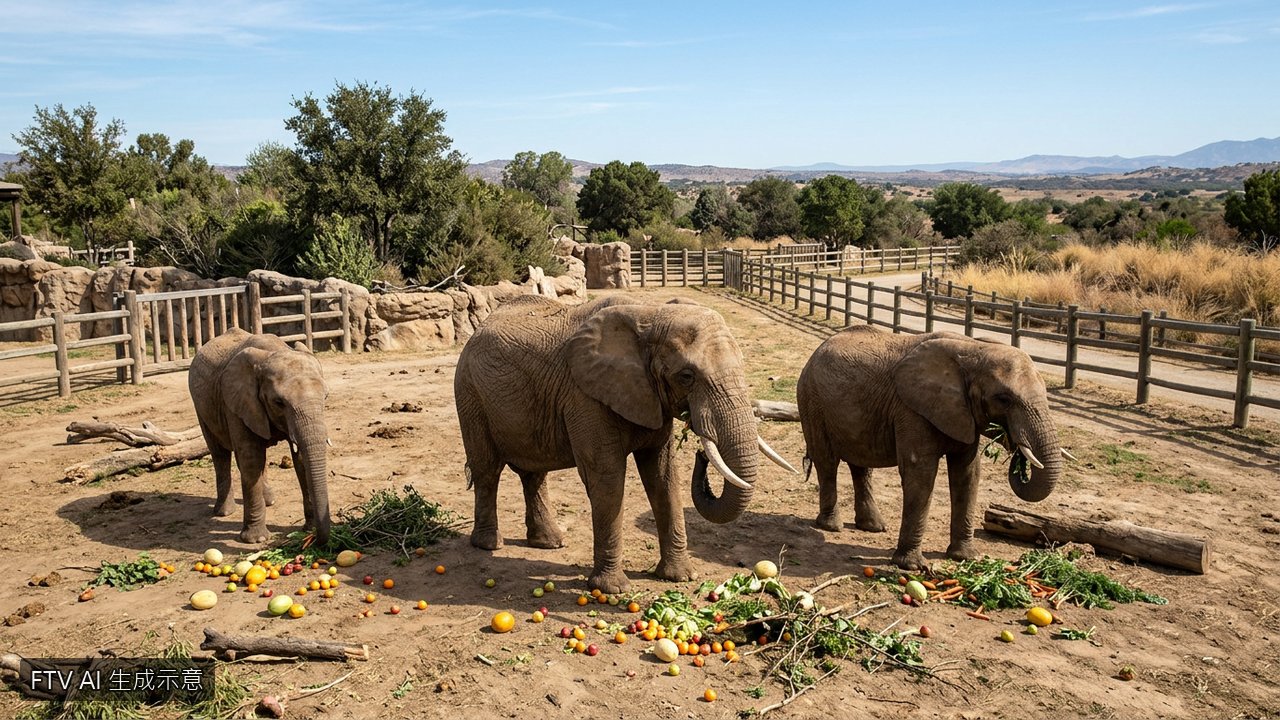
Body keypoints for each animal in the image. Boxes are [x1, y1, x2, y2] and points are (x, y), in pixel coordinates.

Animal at [188, 328, 332, 545]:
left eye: (325, 397)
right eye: (279, 402)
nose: (316, 539)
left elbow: (300, 459)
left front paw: (310, 529)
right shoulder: (237, 402)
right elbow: (251, 458)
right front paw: (256, 540)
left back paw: (269, 501)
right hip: (201, 407)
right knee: (220, 454)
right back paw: (224, 512)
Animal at [454, 295, 795, 593]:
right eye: (687, 376)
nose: (700, 453)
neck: (650, 315)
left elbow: (663, 476)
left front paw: (681, 577)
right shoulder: (585, 396)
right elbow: (607, 480)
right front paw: (612, 589)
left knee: (534, 473)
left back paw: (550, 542)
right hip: (469, 394)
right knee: (487, 470)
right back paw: (489, 544)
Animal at [796, 326, 1066, 570]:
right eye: (1004, 399)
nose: (1017, 450)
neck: (974, 349)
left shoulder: (962, 413)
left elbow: (968, 473)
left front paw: (966, 558)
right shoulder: (911, 409)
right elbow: (921, 473)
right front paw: (912, 566)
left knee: (861, 465)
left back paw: (873, 527)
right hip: (812, 401)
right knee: (827, 461)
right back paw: (831, 526)